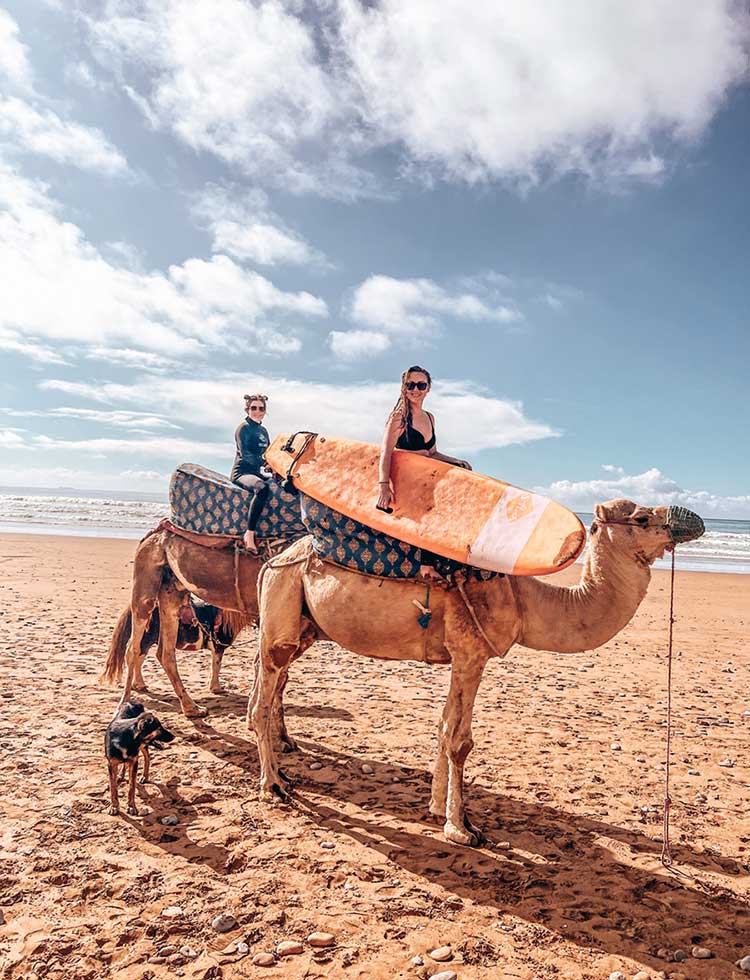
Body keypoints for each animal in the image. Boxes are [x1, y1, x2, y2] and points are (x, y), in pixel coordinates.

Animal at [250, 498, 704, 847]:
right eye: (641, 518)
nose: (691, 520)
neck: (524, 598)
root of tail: (274, 560)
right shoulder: (471, 654)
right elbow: (460, 741)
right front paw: (461, 828)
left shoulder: (463, 657)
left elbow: (442, 726)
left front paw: (437, 808)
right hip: (284, 601)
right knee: (262, 697)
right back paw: (274, 785)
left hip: (303, 622)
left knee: (267, 679)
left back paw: (282, 771)